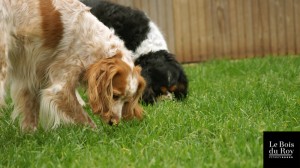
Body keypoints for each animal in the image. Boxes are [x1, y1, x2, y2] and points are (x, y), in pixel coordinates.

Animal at [0, 0, 145, 131]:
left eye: (127, 100)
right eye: (114, 95)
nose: (114, 122)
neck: (89, 38)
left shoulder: (33, 75)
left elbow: (30, 113)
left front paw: (31, 136)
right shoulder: (61, 87)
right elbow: (85, 118)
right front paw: (97, 134)